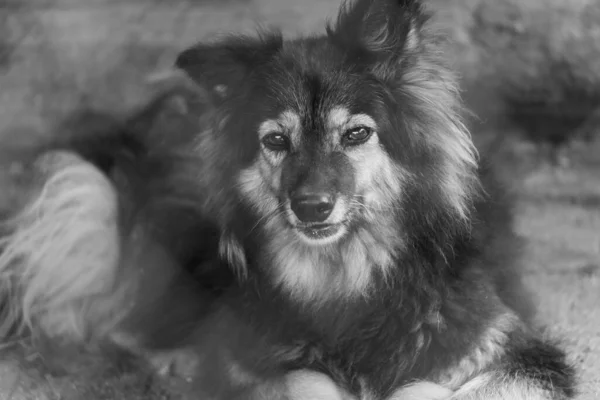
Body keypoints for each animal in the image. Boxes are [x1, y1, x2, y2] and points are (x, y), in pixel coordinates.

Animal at [0, 0, 576, 400]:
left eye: (356, 134)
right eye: (276, 140)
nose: (312, 207)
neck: (349, 281)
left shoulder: (521, 353)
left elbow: (426, 386)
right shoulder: (251, 359)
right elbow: (303, 381)